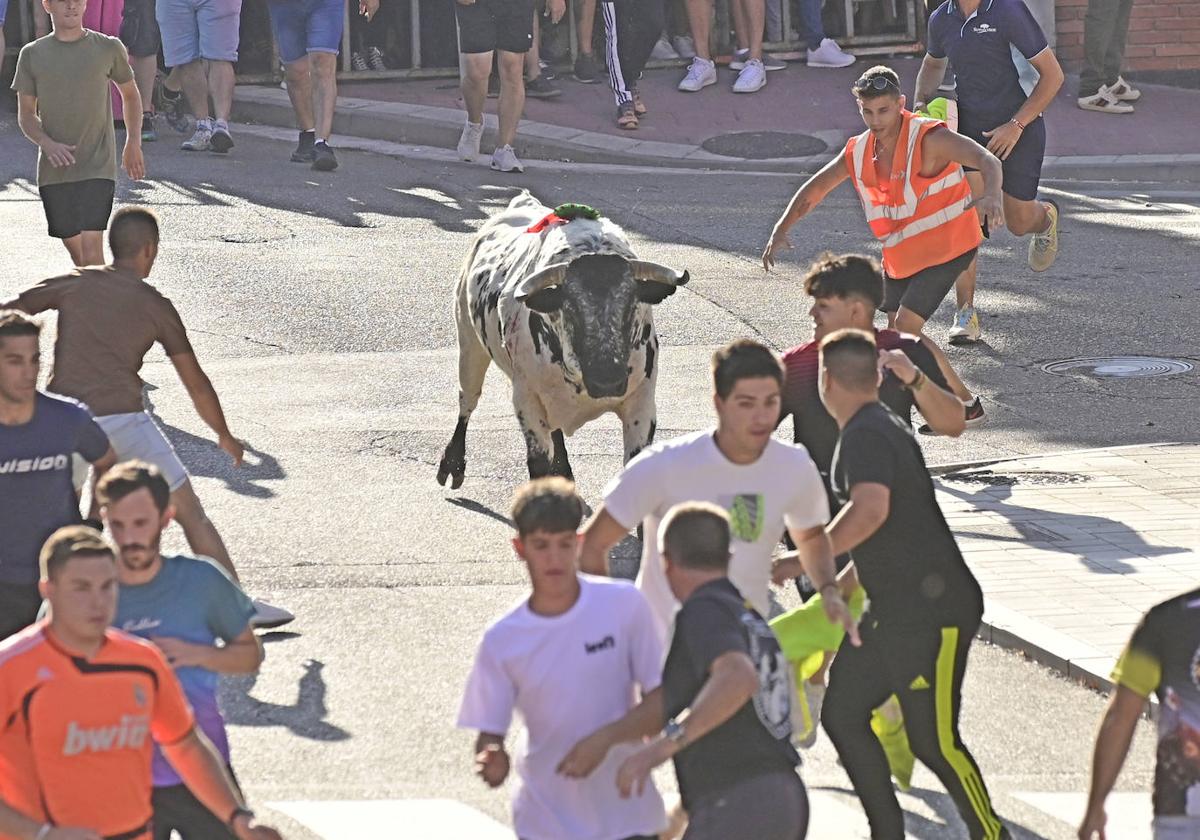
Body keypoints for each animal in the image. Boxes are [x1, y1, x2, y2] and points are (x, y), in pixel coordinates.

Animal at [436, 193, 691, 489]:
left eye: (631, 304)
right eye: (570, 306)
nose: (607, 380)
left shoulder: (642, 402)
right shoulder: (527, 402)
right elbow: (538, 466)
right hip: (469, 343)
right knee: (468, 400)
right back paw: (453, 463)